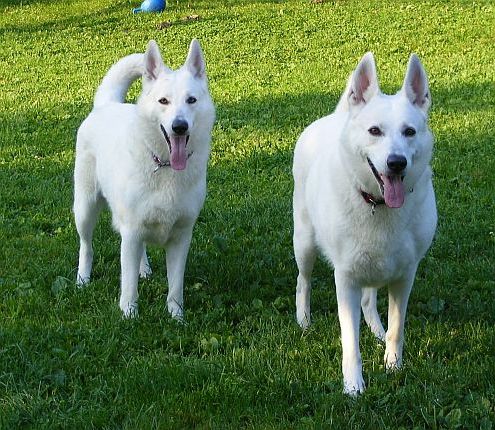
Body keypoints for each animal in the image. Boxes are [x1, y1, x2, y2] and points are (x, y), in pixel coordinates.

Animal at [73, 39, 215, 320]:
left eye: (191, 100)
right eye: (164, 101)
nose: (179, 126)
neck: (166, 167)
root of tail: (106, 104)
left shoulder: (181, 237)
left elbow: (175, 286)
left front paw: (177, 317)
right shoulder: (131, 232)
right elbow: (128, 285)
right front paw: (129, 316)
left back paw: (145, 269)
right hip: (85, 208)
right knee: (86, 246)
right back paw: (82, 279)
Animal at [294, 52, 438, 394]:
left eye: (409, 132)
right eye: (375, 131)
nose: (397, 163)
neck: (378, 204)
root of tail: (337, 116)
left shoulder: (405, 276)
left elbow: (397, 328)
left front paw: (393, 365)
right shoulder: (345, 279)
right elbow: (350, 341)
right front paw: (353, 385)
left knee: (369, 300)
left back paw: (376, 329)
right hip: (304, 243)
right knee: (303, 282)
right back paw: (304, 321)